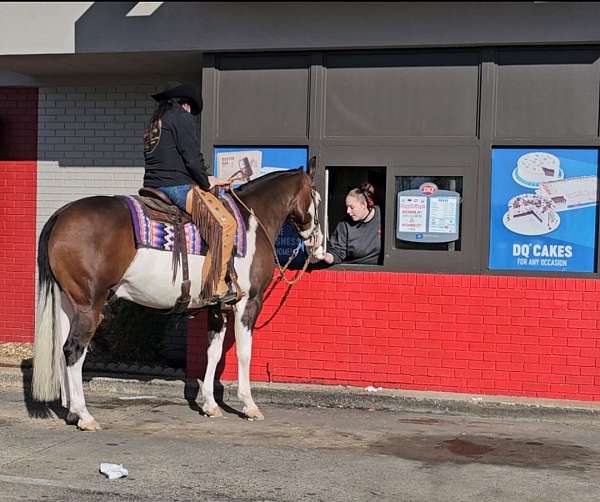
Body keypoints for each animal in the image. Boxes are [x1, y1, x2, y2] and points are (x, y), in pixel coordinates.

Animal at [31, 163, 324, 430]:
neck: (253, 221)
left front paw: (210, 404)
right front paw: (249, 405)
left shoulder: (218, 306)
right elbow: (244, 352)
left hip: (69, 304)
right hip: (90, 306)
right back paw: (85, 416)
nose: (318, 244)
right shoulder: (248, 302)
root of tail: (61, 215)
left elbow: (213, 352)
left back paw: (71, 412)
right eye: (317, 198)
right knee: (74, 350)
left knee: (63, 350)